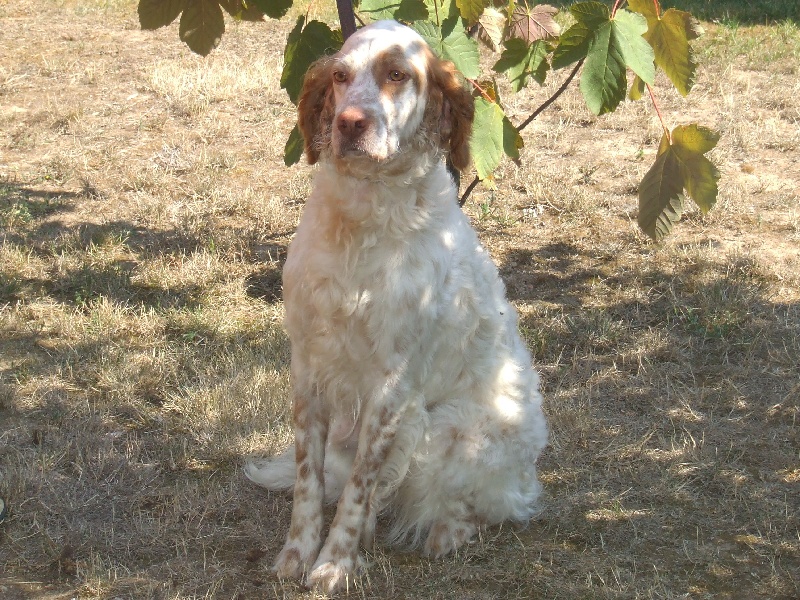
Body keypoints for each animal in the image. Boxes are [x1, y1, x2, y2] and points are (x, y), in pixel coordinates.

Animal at [247, 19, 548, 596]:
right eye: (340, 77)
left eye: (397, 74)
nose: (349, 123)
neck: (363, 218)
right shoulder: (308, 365)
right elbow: (308, 477)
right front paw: (297, 554)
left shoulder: (392, 383)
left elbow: (360, 487)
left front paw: (334, 563)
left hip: (451, 428)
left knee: (489, 507)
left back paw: (446, 533)